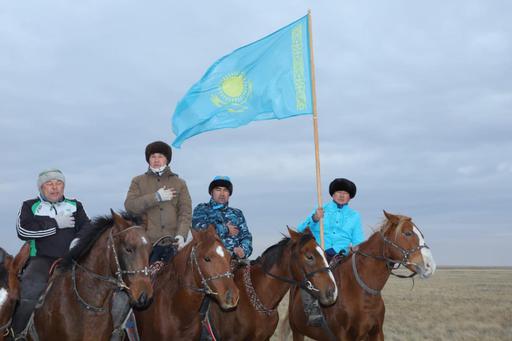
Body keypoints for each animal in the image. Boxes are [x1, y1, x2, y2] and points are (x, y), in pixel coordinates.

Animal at [288, 210, 436, 340]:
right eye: (408, 233)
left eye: (422, 235)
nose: (430, 266)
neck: (361, 292)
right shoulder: (343, 336)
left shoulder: (376, 333)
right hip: (297, 331)